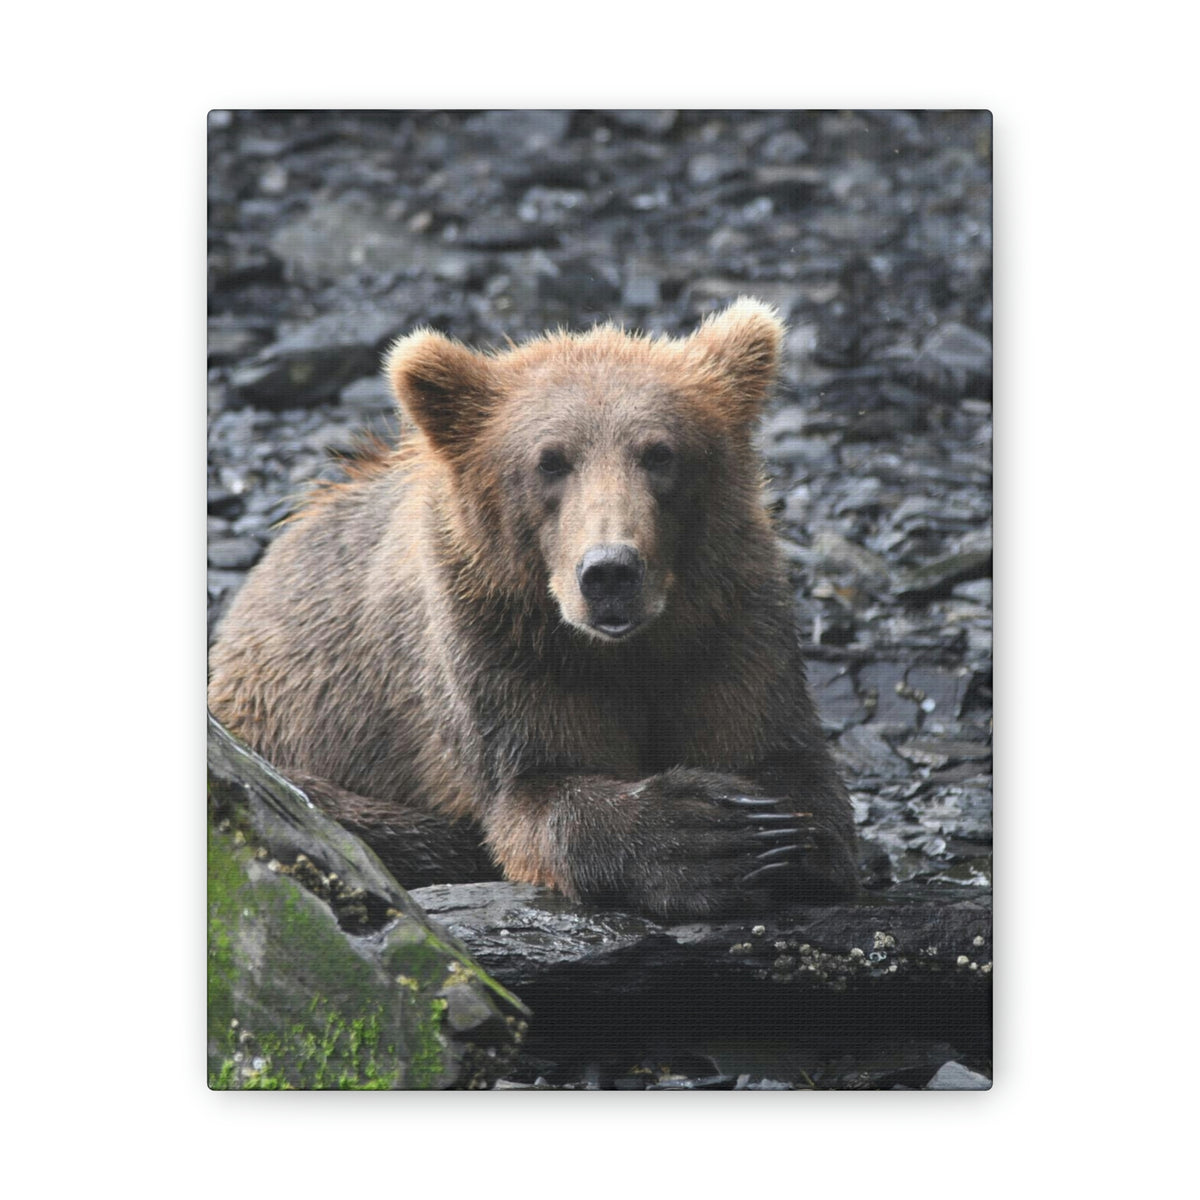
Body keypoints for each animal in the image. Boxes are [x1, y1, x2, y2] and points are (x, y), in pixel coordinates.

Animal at [208, 298, 858, 919]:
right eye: (550, 460)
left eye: (660, 453)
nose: (610, 572)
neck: (625, 649)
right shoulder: (501, 643)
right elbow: (535, 789)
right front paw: (703, 836)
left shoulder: (727, 621)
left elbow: (783, 759)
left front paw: (772, 832)